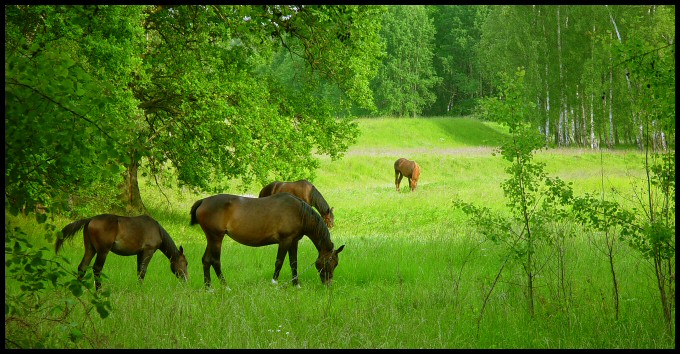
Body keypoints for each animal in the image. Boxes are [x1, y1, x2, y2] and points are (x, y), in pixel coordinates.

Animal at [55, 213, 187, 290]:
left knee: (82, 267)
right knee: (97, 268)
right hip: (102, 251)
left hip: (90, 249)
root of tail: (90, 219)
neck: (157, 230)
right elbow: (143, 271)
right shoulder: (148, 251)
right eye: (185, 263)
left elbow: (139, 271)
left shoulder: (140, 253)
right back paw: (99, 290)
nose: (186, 280)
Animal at [189, 194, 342, 288]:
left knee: (206, 260)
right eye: (330, 263)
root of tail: (203, 201)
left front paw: (296, 285)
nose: (329, 284)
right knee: (215, 261)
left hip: (211, 239)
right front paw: (274, 283)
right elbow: (279, 262)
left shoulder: (294, 241)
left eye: (336, 264)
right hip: (216, 238)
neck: (298, 212)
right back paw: (226, 287)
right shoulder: (285, 240)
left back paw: (209, 288)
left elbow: (294, 263)